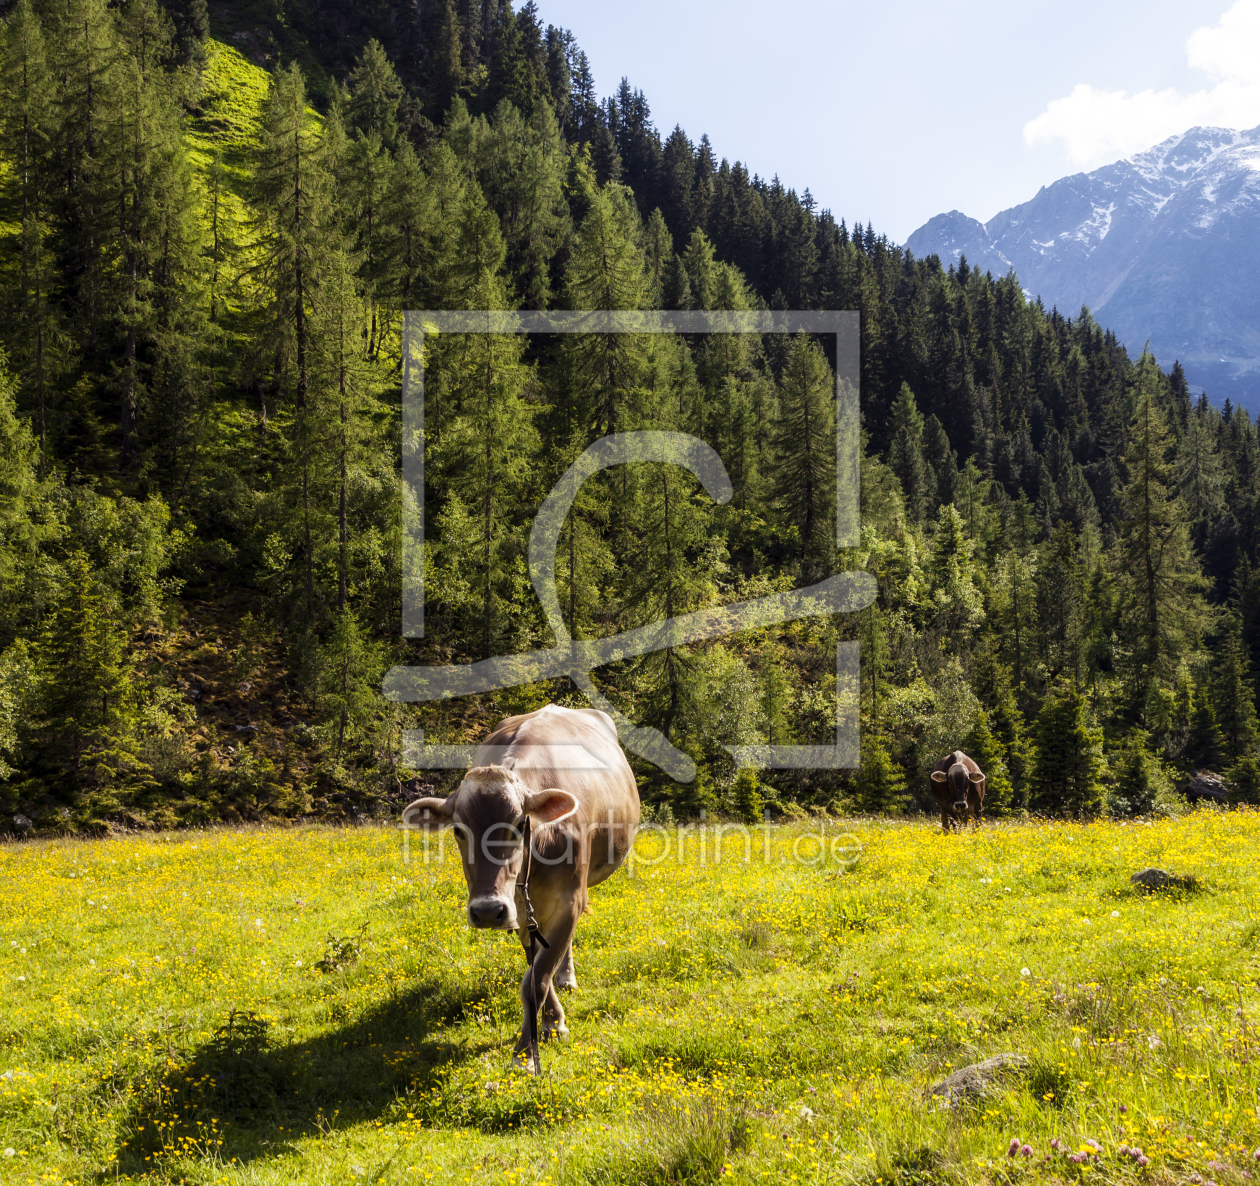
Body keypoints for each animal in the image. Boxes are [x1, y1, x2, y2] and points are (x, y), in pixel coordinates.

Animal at [403, 705, 640, 1068]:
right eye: (458, 830)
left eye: (518, 825)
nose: (487, 911)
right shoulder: (515, 906)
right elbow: (534, 970)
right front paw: (550, 1023)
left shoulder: (569, 900)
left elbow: (538, 977)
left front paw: (527, 1051)